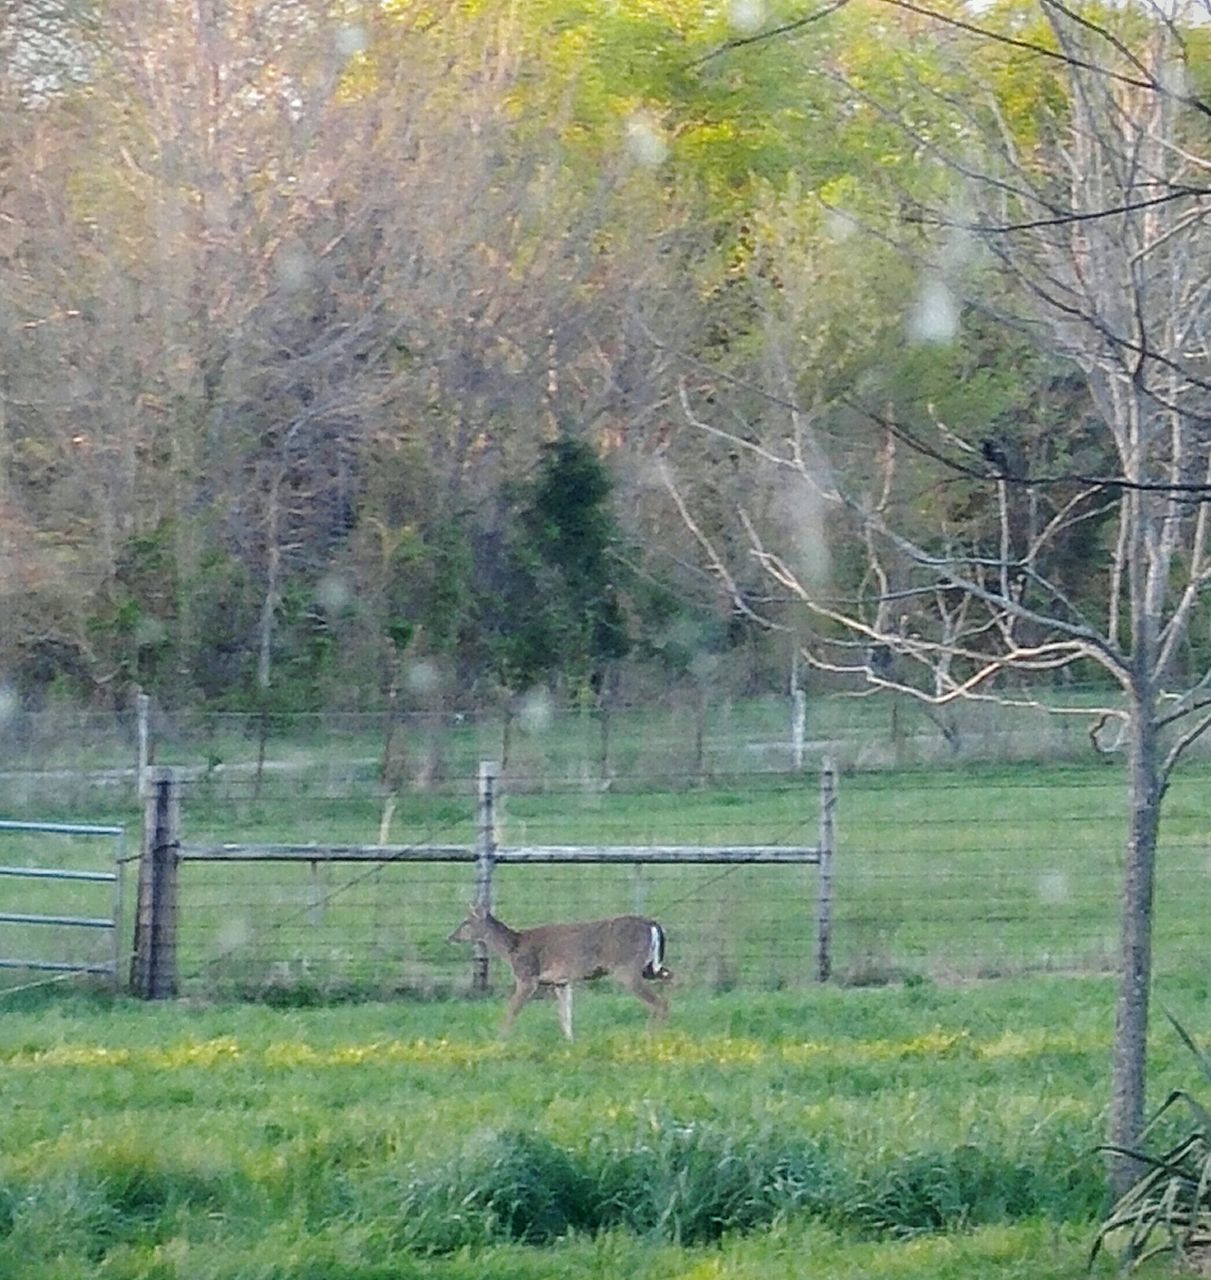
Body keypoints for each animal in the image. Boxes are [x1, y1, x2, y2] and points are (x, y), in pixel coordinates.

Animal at [445, 901, 670, 1039]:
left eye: (466, 922)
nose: (450, 936)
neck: (512, 948)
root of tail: (653, 924)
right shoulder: (561, 981)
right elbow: (565, 1016)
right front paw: (570, 1041)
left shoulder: (527, 977)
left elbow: (512, 1010)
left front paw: (500, 1039)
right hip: (650, 967)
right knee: (670, 983)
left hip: (627, 968)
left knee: (658, 1002)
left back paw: (650, 1035)